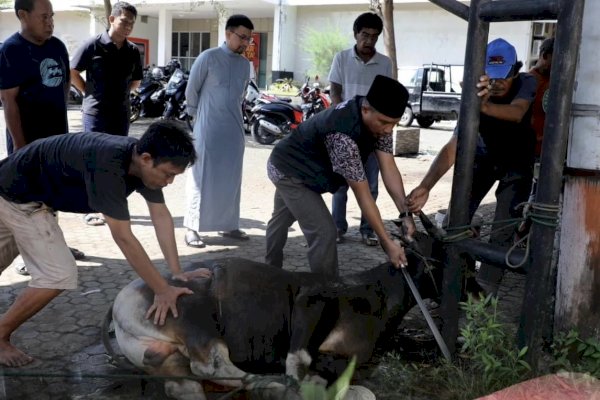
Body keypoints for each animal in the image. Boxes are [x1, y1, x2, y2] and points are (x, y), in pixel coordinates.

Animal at [108, 234, 438, 400]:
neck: (377, 292)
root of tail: (121, 305)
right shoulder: (311, 299)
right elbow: (299, 363)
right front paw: (295, 386)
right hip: (196, 323)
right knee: (210, 366)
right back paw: (268, 385)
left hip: (165, 358)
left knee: (185, 385)